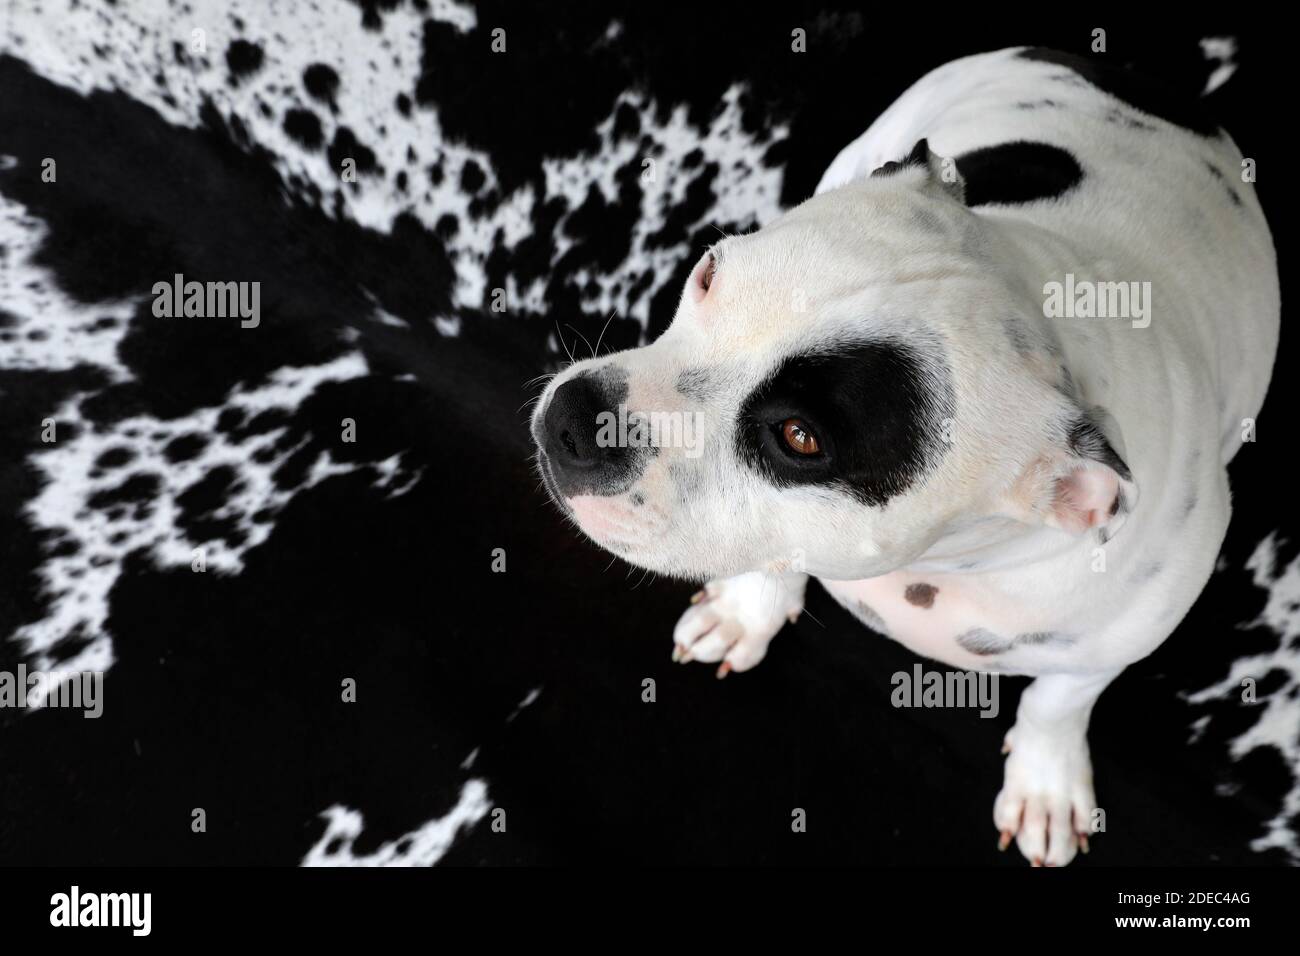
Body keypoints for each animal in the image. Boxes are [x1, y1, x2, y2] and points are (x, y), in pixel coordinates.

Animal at [527, 46, 1279, 868]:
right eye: (708, 277)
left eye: (800, 438)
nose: (576, 421)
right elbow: (771, 550)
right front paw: (747, 608)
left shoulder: (1115, 641)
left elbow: (1059, 699)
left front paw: (1047, 783)